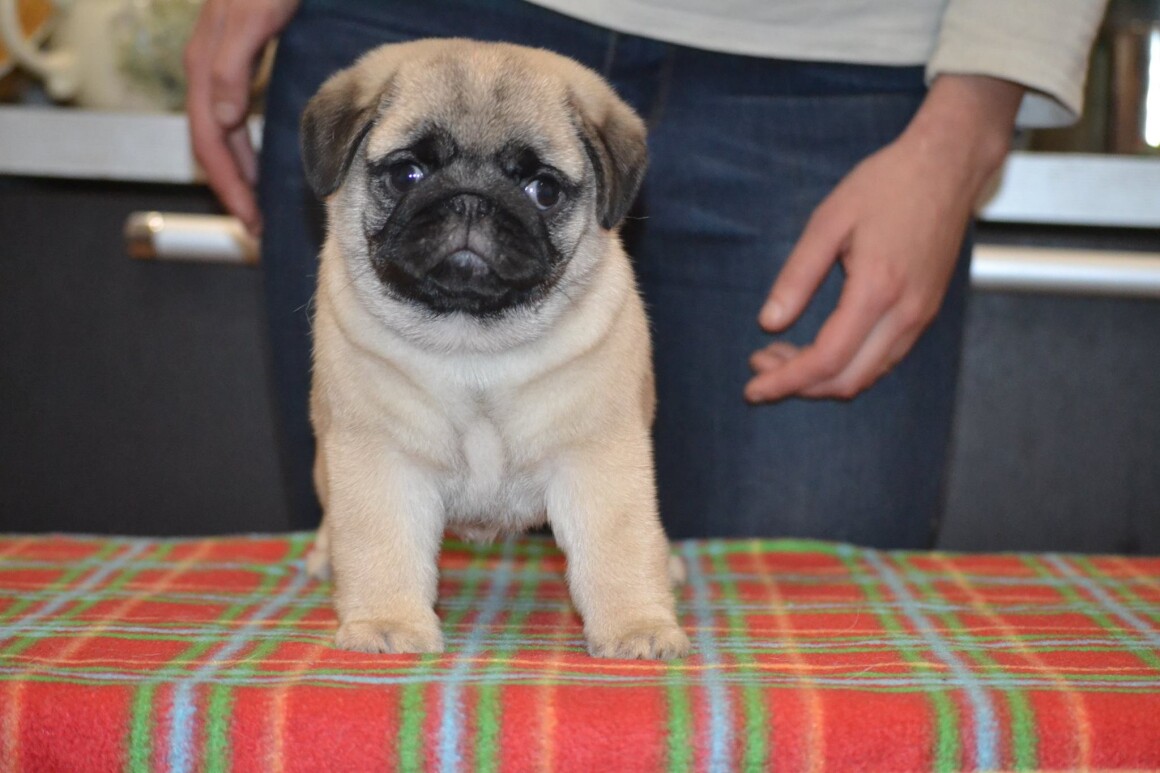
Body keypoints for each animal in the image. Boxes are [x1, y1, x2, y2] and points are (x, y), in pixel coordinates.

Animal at [300, 39, 689, 660]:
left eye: (543, 190)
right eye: (408, 174)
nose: (471, 201)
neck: (473, 343)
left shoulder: (599, 458)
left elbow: (619, 547)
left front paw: (637, 627)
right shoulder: (381, 458)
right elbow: (381, 545)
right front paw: (387, 623)